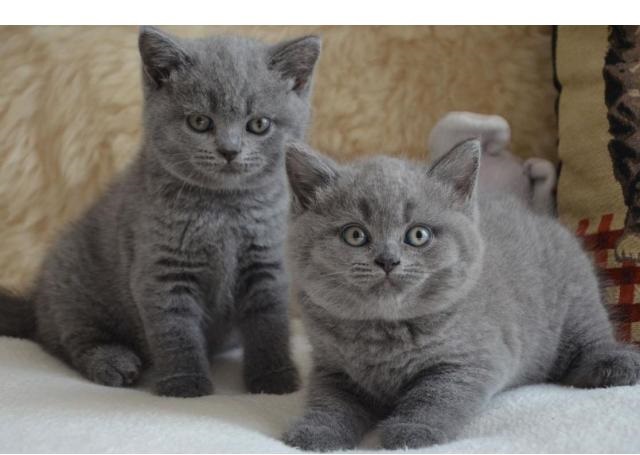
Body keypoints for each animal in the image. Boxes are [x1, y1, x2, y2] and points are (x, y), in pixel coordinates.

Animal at [0, 26, 322, 398]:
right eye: (199, 122)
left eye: (258, 124)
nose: (229, 150)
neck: (223, 209)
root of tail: (35, 301)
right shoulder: (162, 269)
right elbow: (175, 331)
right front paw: (184, 384)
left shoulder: (266, 263)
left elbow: (269, 324)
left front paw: (274, 378)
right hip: (74, 283)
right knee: (68, 339)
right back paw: (113, 362)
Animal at [282, 141, 640, 450]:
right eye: (355, 235)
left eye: (418, 235)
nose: (387, 260)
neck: (384, 332)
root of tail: (538, 216)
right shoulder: (333, 369)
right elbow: (329, 402)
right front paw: (314, 432)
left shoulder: (472, 359)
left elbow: (436, 395)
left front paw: (413, 430)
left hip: (575, 300)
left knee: (590, 339)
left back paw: (615, 364)